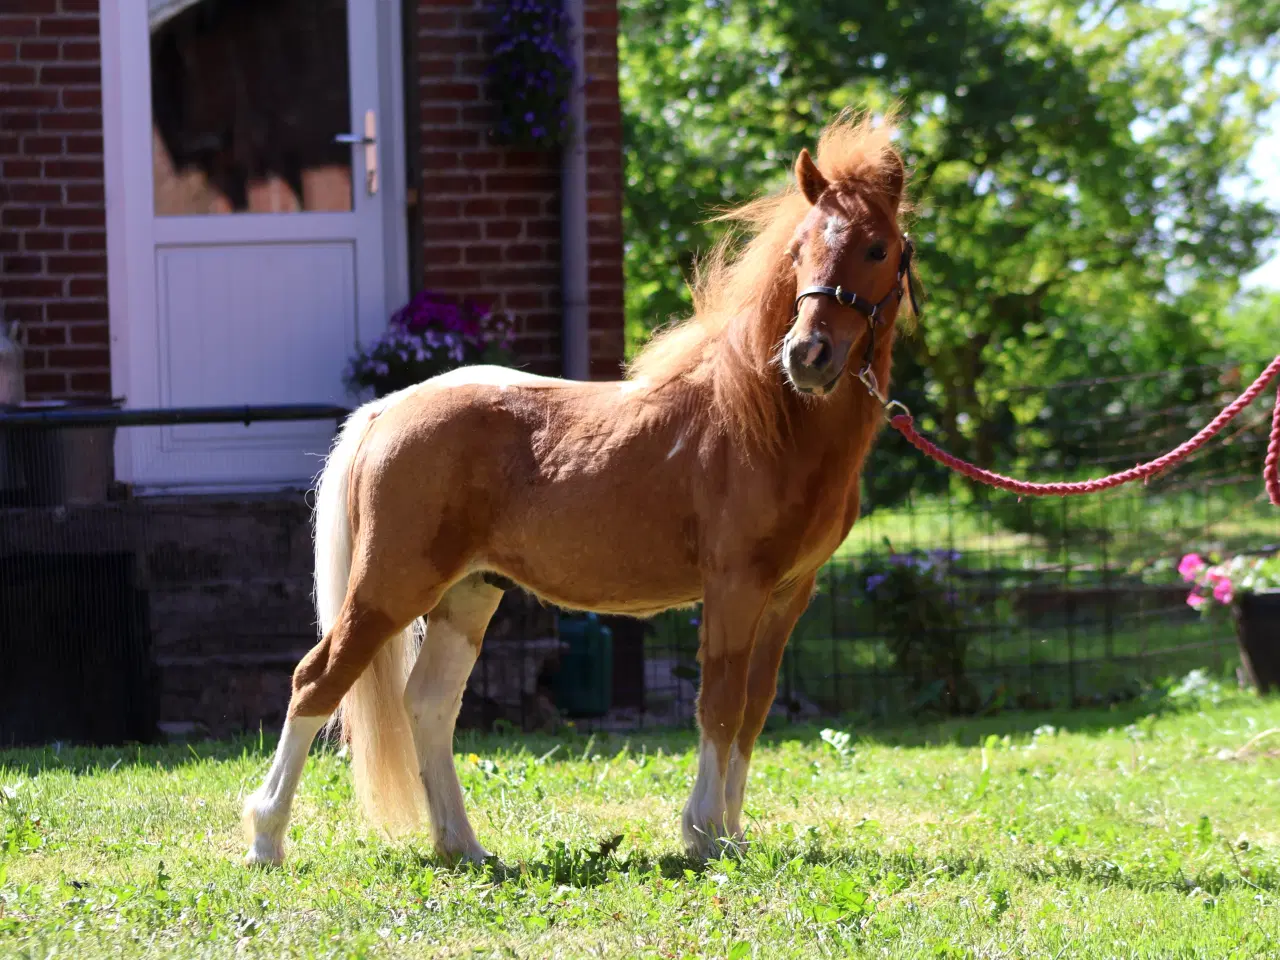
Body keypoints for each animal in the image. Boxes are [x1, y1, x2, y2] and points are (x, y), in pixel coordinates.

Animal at [241, 108, 921, 870]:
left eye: (877, 248)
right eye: (800, 251)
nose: (808, 356)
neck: (765, 419)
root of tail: (389, 410)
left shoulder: (787, 594)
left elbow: (753, 706)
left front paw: (734, 836)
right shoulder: (735, 585)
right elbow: (718, 703)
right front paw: (704, 835)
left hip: (467, 592)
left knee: (429, 704)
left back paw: (462, 846)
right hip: (391, 585)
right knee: (317, 679)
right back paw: (267, 840)